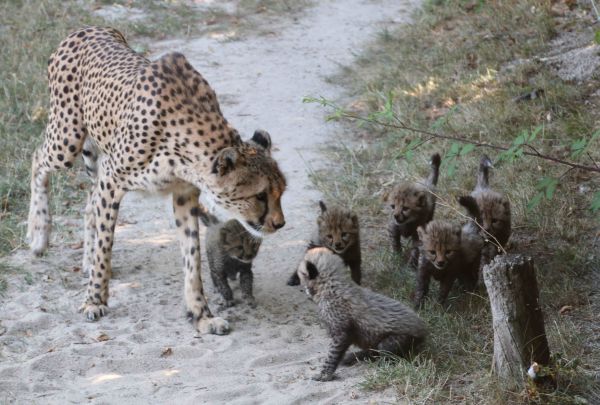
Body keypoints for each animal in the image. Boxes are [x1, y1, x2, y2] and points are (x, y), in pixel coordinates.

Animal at [25, 26, 284, 332]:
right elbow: (105, 245)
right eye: (259, 195)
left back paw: (84, 258)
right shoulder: (112, 180)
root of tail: (88, 28)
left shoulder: (184, 195)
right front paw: (94, 300)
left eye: (281, 192)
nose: (279, 223)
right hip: (67, 139)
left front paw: (201, 315)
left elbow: (192, 258)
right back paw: (39, 233)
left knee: (89, 200)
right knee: (37, 158)